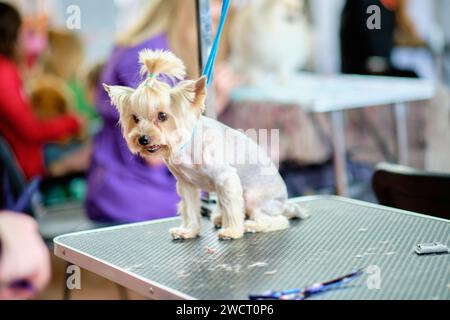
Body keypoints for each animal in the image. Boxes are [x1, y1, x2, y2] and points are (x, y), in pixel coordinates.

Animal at [103, 49, 308, 240]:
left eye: (162, 116)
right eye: (135, 118)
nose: (143, 139)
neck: (186, 146)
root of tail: (284, 203)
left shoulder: (226, 179)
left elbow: (232, 207)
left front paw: (232, 231)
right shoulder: (186, 185)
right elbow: (190, 210)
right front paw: (188, 231)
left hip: (254, 198)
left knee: (276, 219)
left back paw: (250, 225)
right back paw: (221, 219)